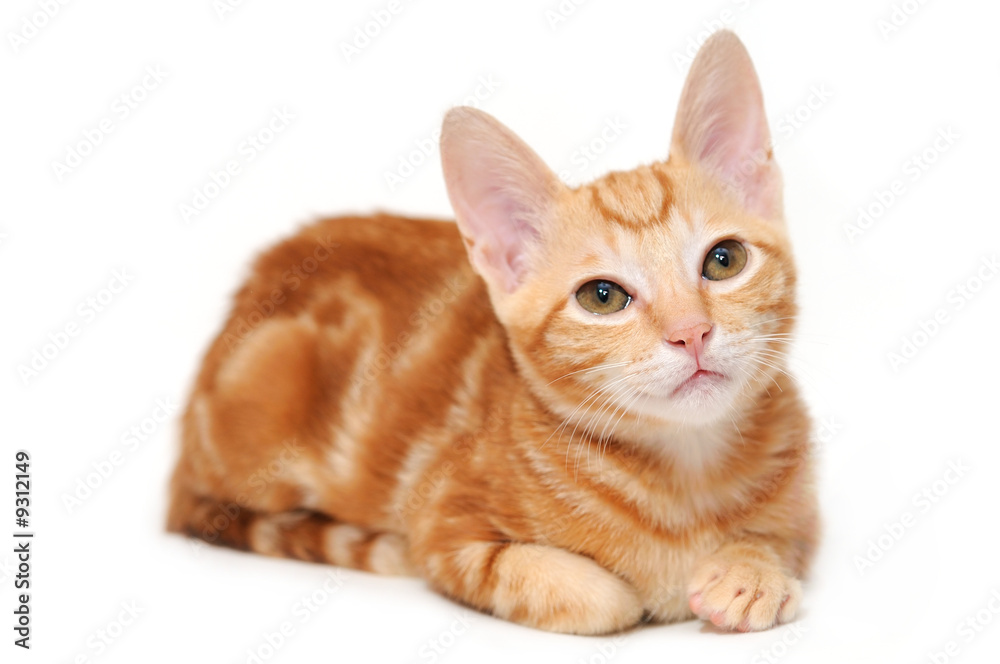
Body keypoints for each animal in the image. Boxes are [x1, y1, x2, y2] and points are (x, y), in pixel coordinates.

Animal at [166, 29, 820, 632]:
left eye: (725, 260)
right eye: (602, 297)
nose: (691, 332)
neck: (687, 475)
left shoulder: (806, 508)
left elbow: (784, 537)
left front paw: (751, 572)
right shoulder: (441, 529)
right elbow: (601, 598)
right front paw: (639, 591)